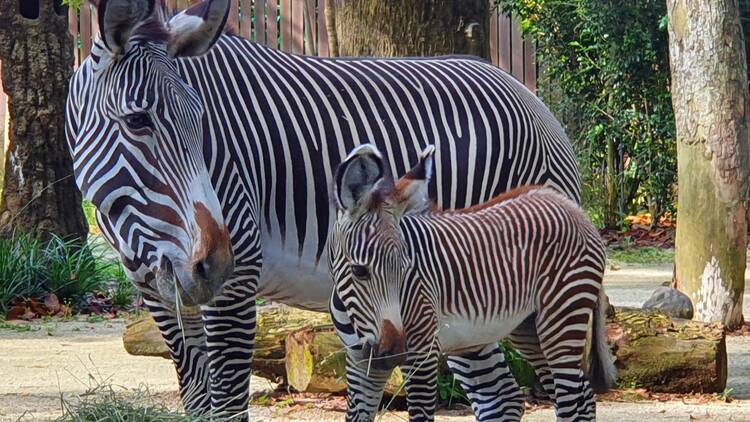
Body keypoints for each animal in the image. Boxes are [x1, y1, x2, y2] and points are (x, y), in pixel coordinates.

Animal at [64, 0, 580, 418]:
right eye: (137, 121)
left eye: (203, 123)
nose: (214, 264)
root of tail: (530, 95)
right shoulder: (159, 294)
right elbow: (196, 404)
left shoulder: (235, 287)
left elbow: (226, 407)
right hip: (469, 300)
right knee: (501, 396)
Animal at [328, 143, 616, 420]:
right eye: (359, 271)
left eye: (406, 269)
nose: (395, 352)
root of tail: (571, 205)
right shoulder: (359, 362)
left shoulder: (422, 353)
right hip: (529, 328)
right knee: (583, 396)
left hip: (563, 316)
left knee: (570, 401)